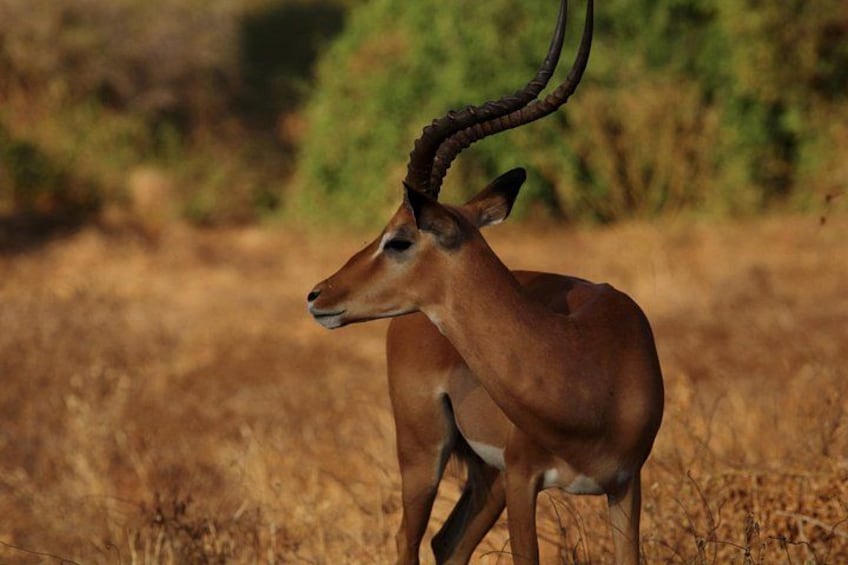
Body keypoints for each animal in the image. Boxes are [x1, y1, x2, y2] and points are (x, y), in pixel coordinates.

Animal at [306, 1, 664, 563]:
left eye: (399, 239)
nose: (318, 295)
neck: (586, 365)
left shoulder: (626, 483)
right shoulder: (523, 478)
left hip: (482, 477)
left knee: (445, 542)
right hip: (423, 454)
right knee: (407, 540)